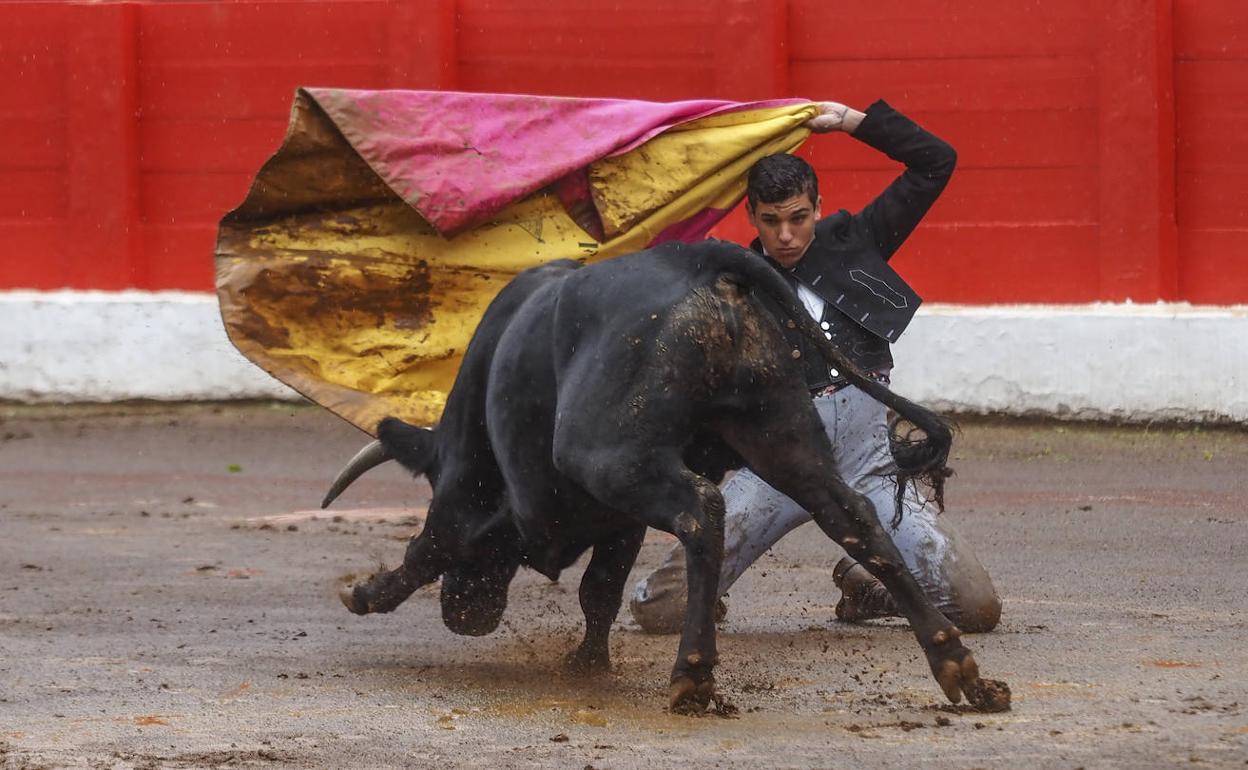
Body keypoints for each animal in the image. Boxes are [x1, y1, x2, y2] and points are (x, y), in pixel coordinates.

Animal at [321, 237, 1003, 713]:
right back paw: (960, 670)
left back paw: (693, 677)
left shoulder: (467, 492)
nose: (465, 615)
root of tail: (697, 261)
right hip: (778, 432)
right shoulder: (617, 520)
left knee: (702, 511)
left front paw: (365, 592)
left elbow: (429, 546)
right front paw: (588, 663)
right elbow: (600, 589)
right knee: (851, 516)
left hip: (610, 456)